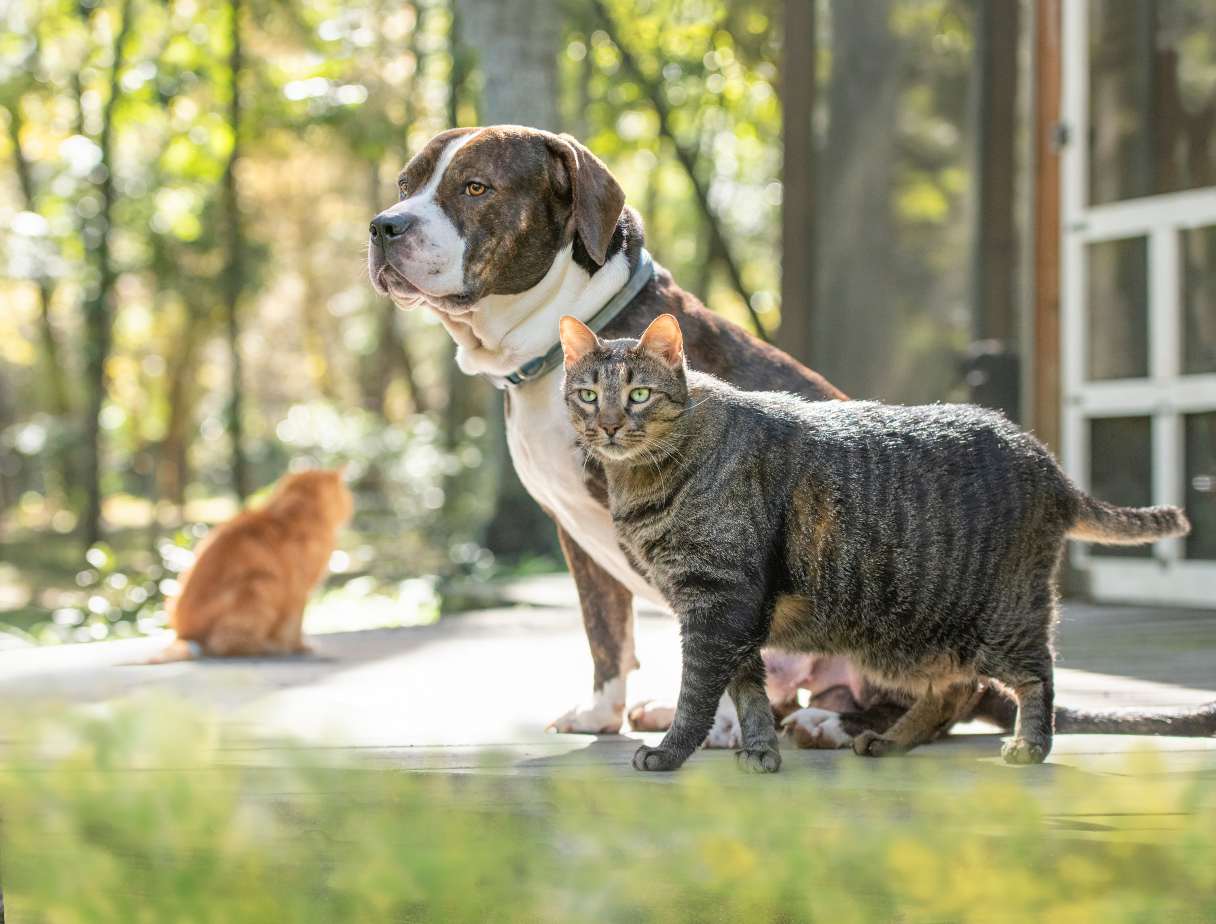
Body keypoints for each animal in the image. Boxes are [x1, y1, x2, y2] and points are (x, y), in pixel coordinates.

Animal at [148, 471, 352, 661]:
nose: (350, 507)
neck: (295, 513)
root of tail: (185, 636)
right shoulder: (299, 589)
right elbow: (295, 625)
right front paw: (299, 647)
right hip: (260, 584)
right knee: (227, 645)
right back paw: (270, 647)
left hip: (173, 598)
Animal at [556, 313, 1186, 768]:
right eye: (588, 394)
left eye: (638, 394)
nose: (607, 424)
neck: (645, 477)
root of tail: (1050, 464)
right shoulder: (729, 615)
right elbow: (749, 692)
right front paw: (760, 753)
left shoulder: (719, 603)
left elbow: (698, 696)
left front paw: (670, 753)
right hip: (920, 640)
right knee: (950, 690)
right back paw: (891, 741)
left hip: (1003, 620)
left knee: (1037, 676)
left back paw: (1028, 746)